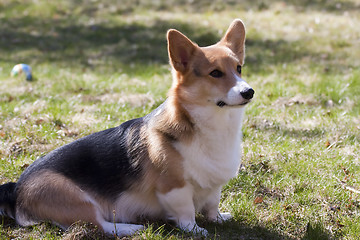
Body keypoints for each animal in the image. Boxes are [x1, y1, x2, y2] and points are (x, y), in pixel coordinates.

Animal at [0, 19, 253, 236]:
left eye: (239, 68)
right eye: (215, 73)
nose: (248, 92)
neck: (215, 124)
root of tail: (16, 189)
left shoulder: (213, 185)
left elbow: (212, 204)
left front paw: (218, 218)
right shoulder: (174, 187)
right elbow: (186, 213)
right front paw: (196, 230)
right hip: (77, 200)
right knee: (100, 225)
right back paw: (129, 228)